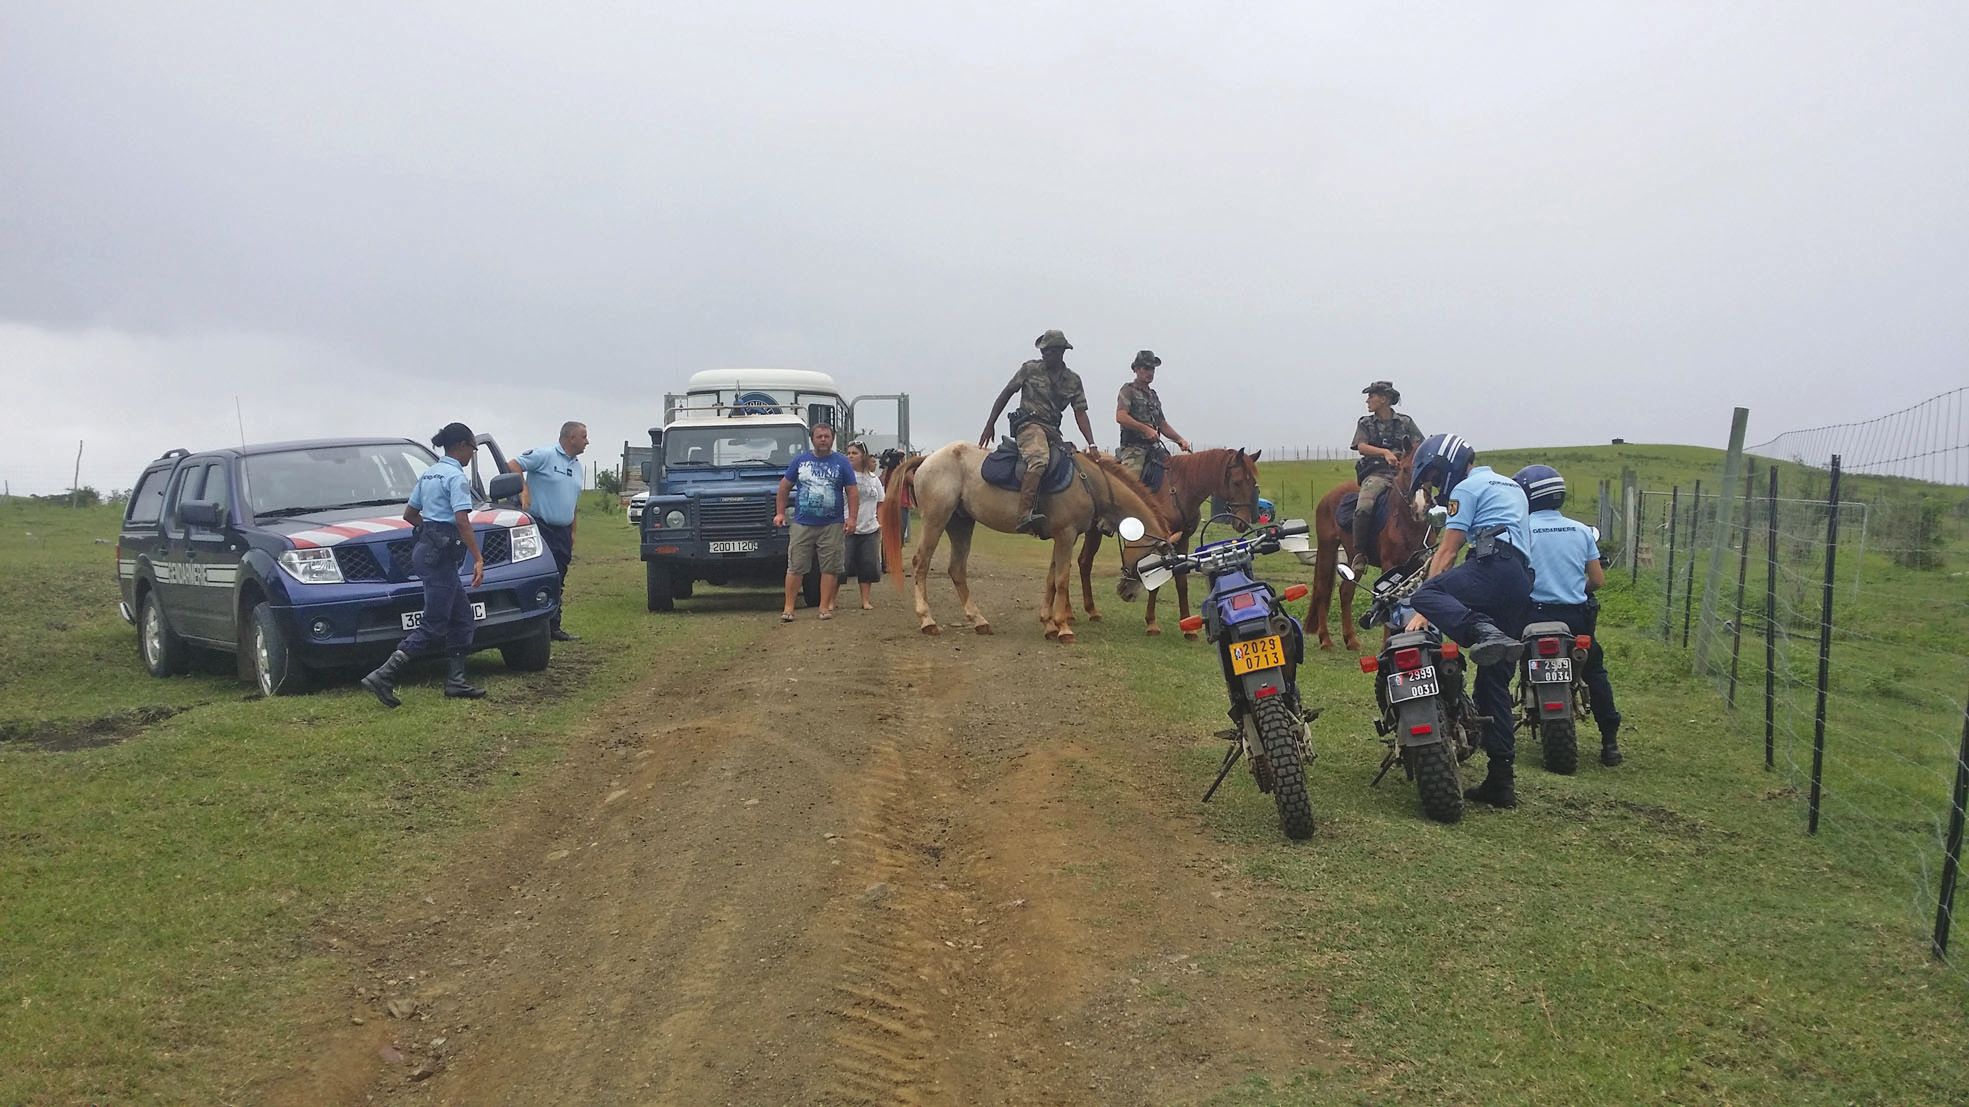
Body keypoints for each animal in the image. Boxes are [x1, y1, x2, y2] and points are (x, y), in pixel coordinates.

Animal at [886, 443, 1173, 642]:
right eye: (1154, 563)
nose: (1127, 593)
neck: (1089, 482)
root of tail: (927, 459)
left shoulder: (1063, 537)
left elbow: (1051, 579)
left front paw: (1048, 623)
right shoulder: (1066, 535)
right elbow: (1061, 579)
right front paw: (1063, 627)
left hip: (960, 524)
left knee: (956, 569)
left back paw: (979, 620)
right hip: (936, 520)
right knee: (921, 563)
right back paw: (927, 620)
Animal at [1079, 443, 1260, 634]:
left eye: (1253, 484)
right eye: (1237, 482)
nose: (1243, 522)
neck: (1178, 490)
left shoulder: (1182, 540)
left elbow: (1181, 582)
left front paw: (1188, 628)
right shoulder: (1160, 544)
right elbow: (1155, 583)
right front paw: (1151, 623)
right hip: (1093, 531)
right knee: (1085, 562)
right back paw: (1091, 610)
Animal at [1307, 451, 1433, 650]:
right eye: (1405, 469)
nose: (1419, 508)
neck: (1408, 523)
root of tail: (1327, 497)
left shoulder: (1421, 567)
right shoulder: (1390, 565)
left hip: (1353, 559)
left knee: (1345, 592)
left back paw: (1351, 639)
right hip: (1328, 548)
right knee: (1322, 590)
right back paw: (1326, 640)